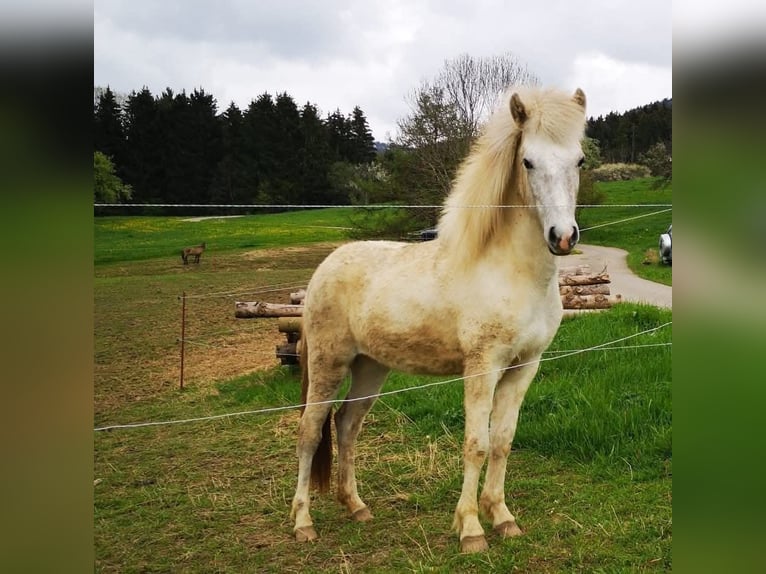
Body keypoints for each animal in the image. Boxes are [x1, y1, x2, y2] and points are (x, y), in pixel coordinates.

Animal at [291, 86, 587, 553]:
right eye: (527, 161)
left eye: (579, 160)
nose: (563, 237)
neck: (511, 271)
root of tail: (324, 269)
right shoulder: (482, 367)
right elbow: (476, 444)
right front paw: (471, 529)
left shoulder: (525, 366)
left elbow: (502, 442)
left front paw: (502, 517)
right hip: (328, 364)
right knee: (310, 431)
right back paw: (303, 523)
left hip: (370, 368)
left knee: (347, 425)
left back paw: (356, 507)